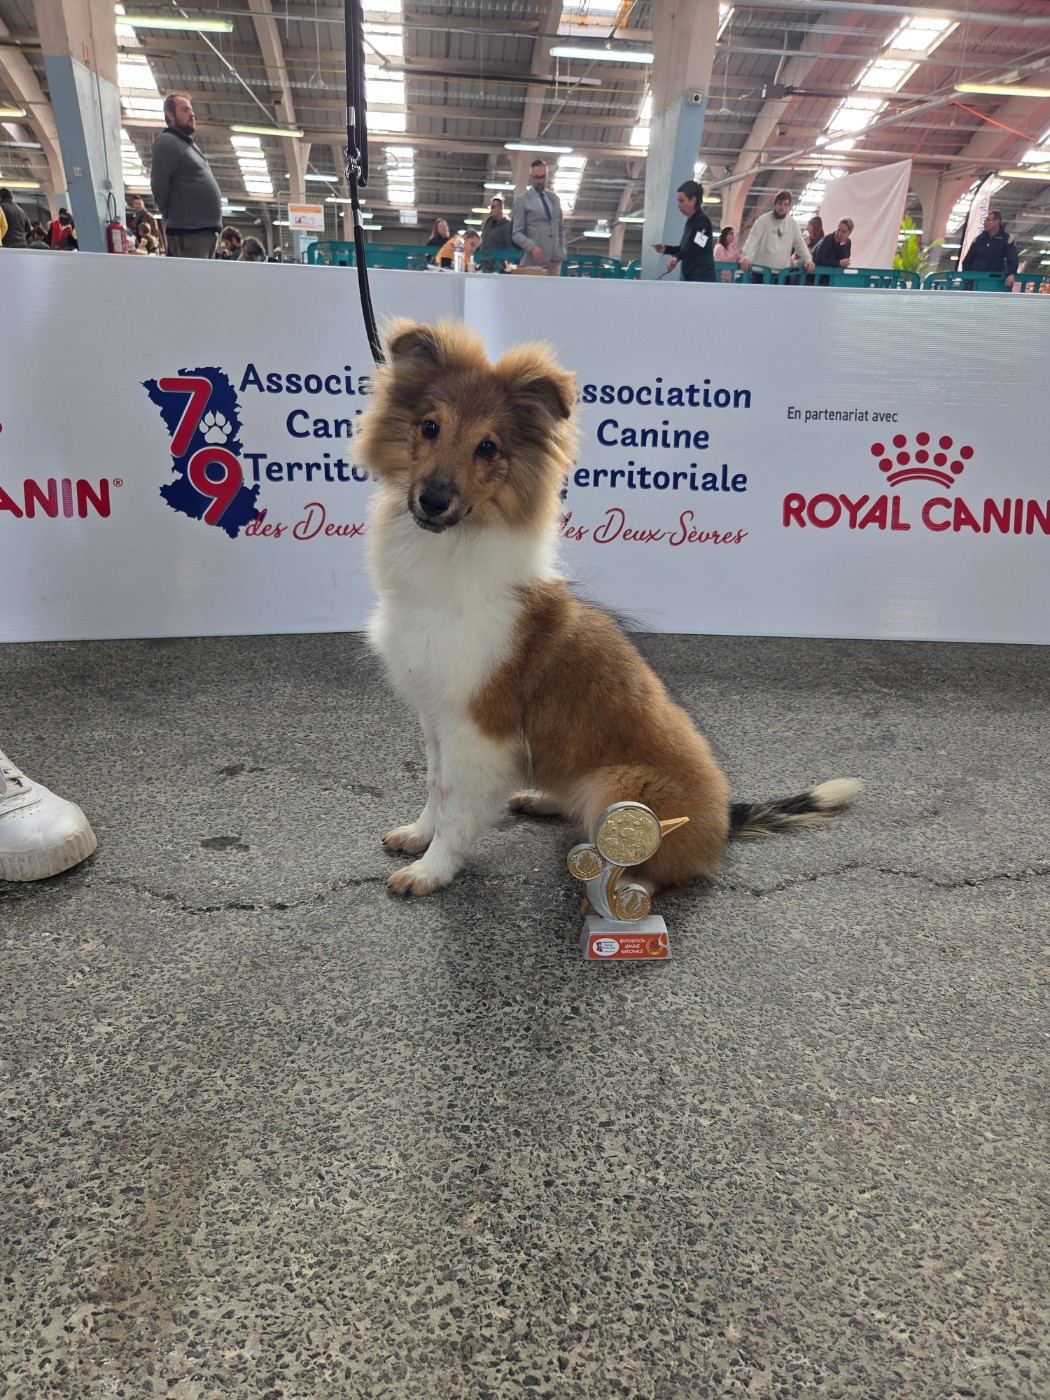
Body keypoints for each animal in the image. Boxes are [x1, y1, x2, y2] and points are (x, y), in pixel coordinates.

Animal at [358, 319, 857, 900]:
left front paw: (431, 870)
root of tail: (725, 820)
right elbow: (435, 786)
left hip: (617, 785)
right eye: (430, 426)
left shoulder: (477, 726)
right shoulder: (436, 713)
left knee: (662, 870)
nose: (433, 501)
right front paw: (418, 836)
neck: (452, 555)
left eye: (488, 447)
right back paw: (541, 798)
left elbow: (456, 806)